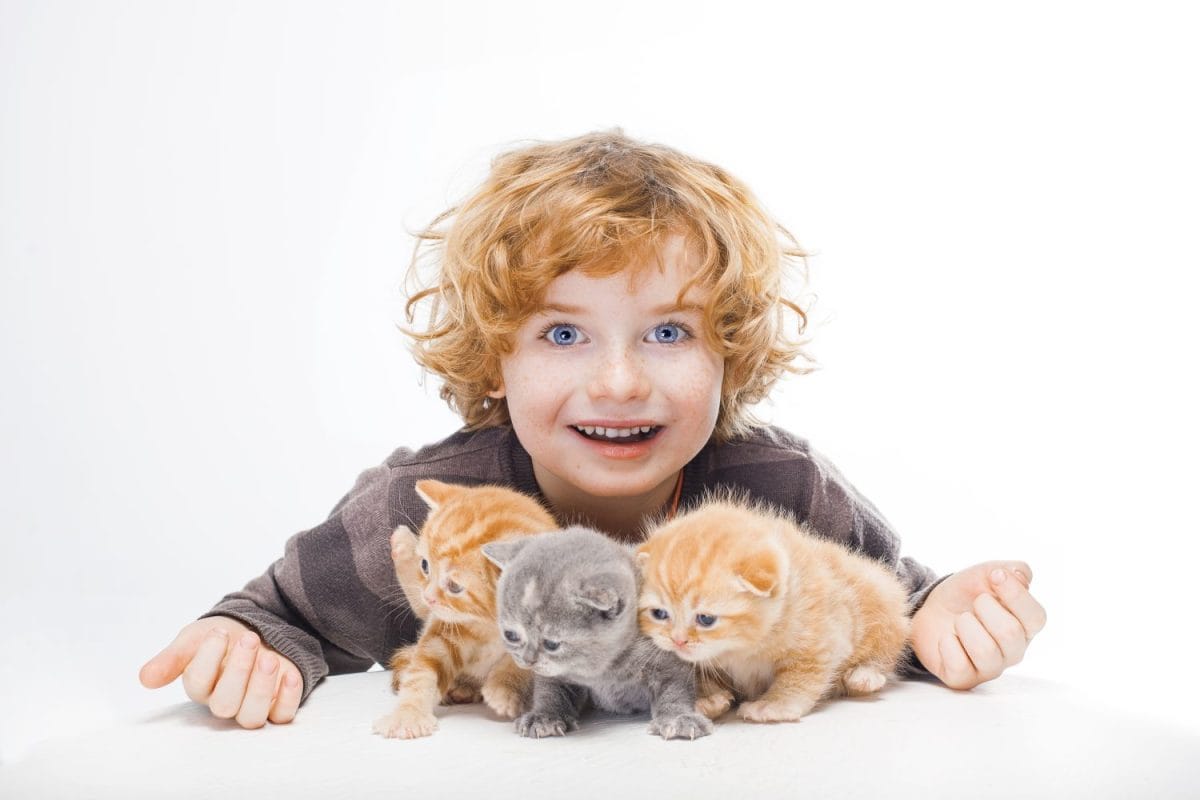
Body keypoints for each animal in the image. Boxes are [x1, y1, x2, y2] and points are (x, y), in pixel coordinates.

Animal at [369, 479, 556, 743]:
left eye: (454, 586)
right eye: (425, 565)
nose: (430, 597)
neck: (488, 623)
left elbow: (521, 665)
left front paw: (503, 690)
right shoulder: (442, 627)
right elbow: (422, 670)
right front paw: (408, 715)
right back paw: (402, 544)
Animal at [482, 527, 715, 743]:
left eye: (552, 644)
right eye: (511, 635)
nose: (528, 661)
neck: (605, 668)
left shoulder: (667, 655)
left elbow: (674, 688)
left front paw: (678, 718)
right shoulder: (555, 673)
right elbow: (550, 690)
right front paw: (543, 716)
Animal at [638, 496, 907, 724]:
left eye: (705, 619)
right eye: (660, 614)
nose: (678, 640)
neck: (743, 646)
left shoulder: (823, 636)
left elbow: (801, 675)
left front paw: (773, 705)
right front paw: (707, 698)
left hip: (883, 597)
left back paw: (865, 675)